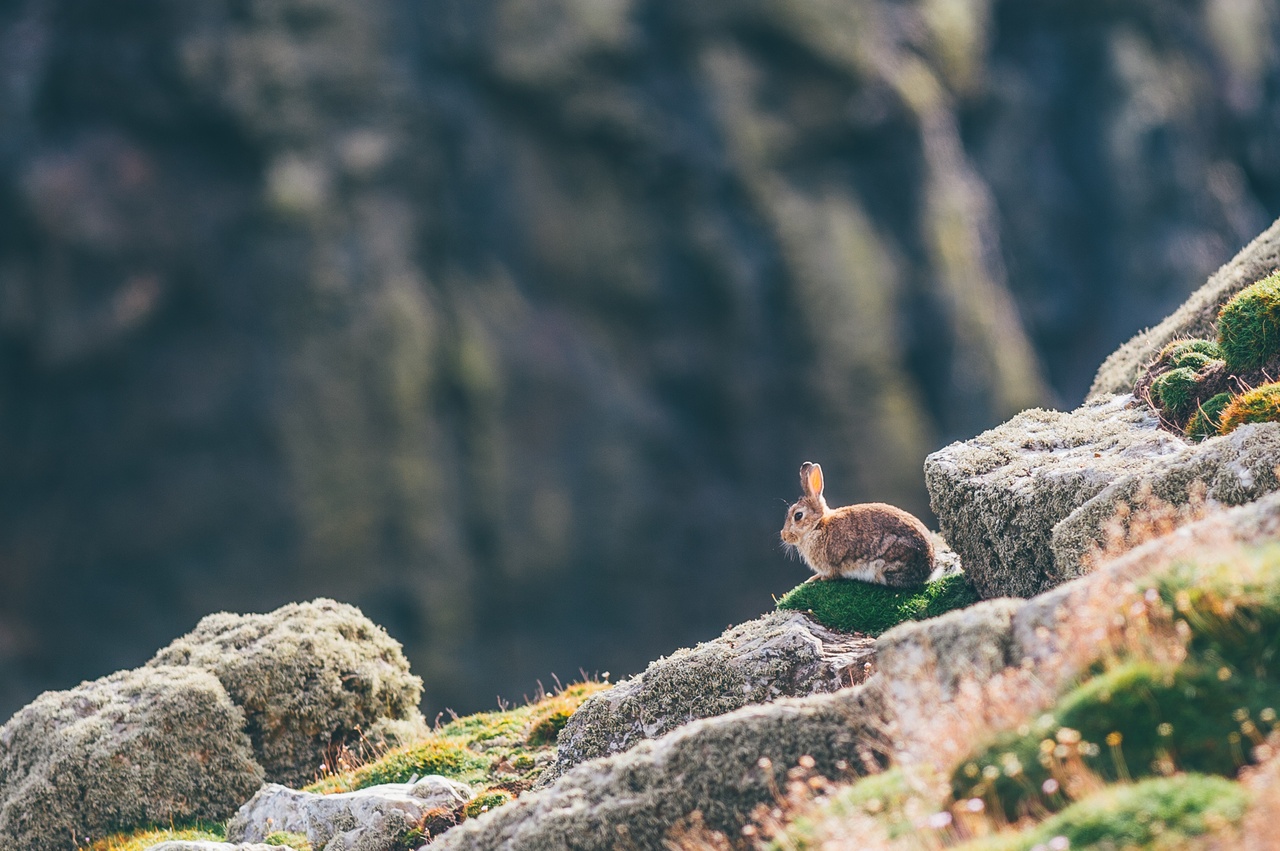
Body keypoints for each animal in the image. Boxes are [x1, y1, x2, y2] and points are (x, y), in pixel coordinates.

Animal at [778, 460, 931, 588]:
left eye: (798, 516)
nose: (784, 536)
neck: (817, 526)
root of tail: (929, 565)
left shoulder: (831, 565)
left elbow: (830, 574)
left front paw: (816, 578)